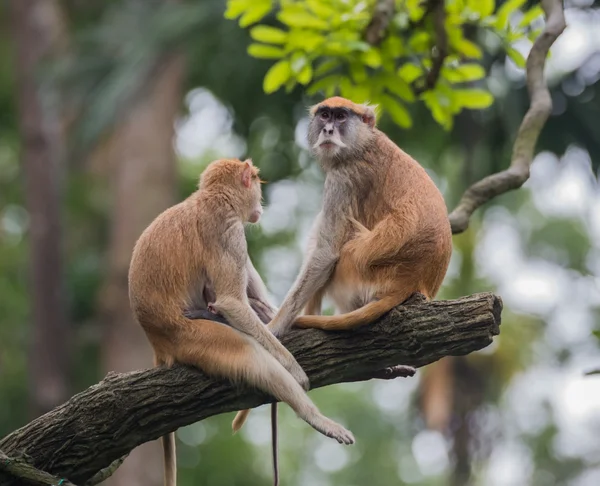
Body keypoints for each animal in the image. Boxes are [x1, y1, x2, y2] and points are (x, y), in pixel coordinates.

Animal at [129, 158, 354, 486]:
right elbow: (232, 303)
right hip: (191, 336)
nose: (260, 204)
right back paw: (316, 418)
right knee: (253, 358)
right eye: (256, 183)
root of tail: (156, 340)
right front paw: (293, 367)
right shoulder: (229, 231)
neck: (214, 198)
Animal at [232, 97, 452, 430]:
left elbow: (325, 253)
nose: (328, 129)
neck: (363, 143)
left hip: (356, 270)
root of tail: (411, 280)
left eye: (340, 116)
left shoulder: (344, 177)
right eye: (324, 115)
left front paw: (275, 328)